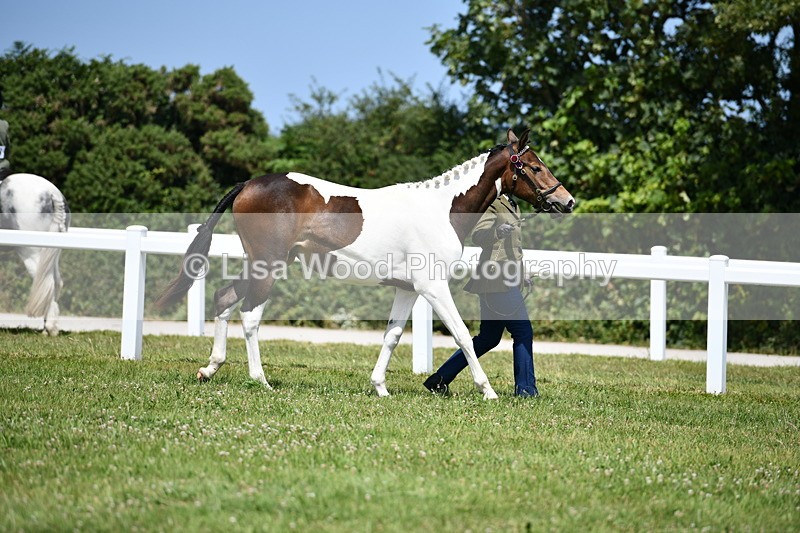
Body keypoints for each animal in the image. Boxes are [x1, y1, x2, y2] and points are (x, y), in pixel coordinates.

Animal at [0, 173, 70, 336]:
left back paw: (50, 328)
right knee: (56, 282)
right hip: (51, 254)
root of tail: (52, 193)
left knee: (47, 282)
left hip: (31, 252)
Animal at [156, 129, 575, 399]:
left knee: (225, 298)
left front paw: (380, 388)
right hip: (267, 266)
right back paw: (260, 381)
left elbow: (392, 335)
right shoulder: (434, 288)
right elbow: (461, 336)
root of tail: (248, 184)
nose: (566, 201)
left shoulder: (408, 290)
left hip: (258, 264)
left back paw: (210, 369)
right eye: (534, 167)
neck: (441, 210)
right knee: (249, 316)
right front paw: (487, 391)